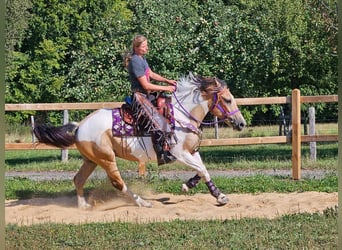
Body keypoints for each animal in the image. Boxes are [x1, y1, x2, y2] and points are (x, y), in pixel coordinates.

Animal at [33, 73, 246, 209]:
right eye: (227, 100)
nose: (241, 123)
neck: (181, 116)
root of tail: (79, 127)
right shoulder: (179, 153)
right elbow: (202, 169)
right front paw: (212, 194)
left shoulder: (192, 151)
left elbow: (202, 170)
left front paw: (211, 192)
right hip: (106, 159)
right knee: (118, 182)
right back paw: (142, 202)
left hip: (91, 160)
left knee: (78, 179)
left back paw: (84, 205)